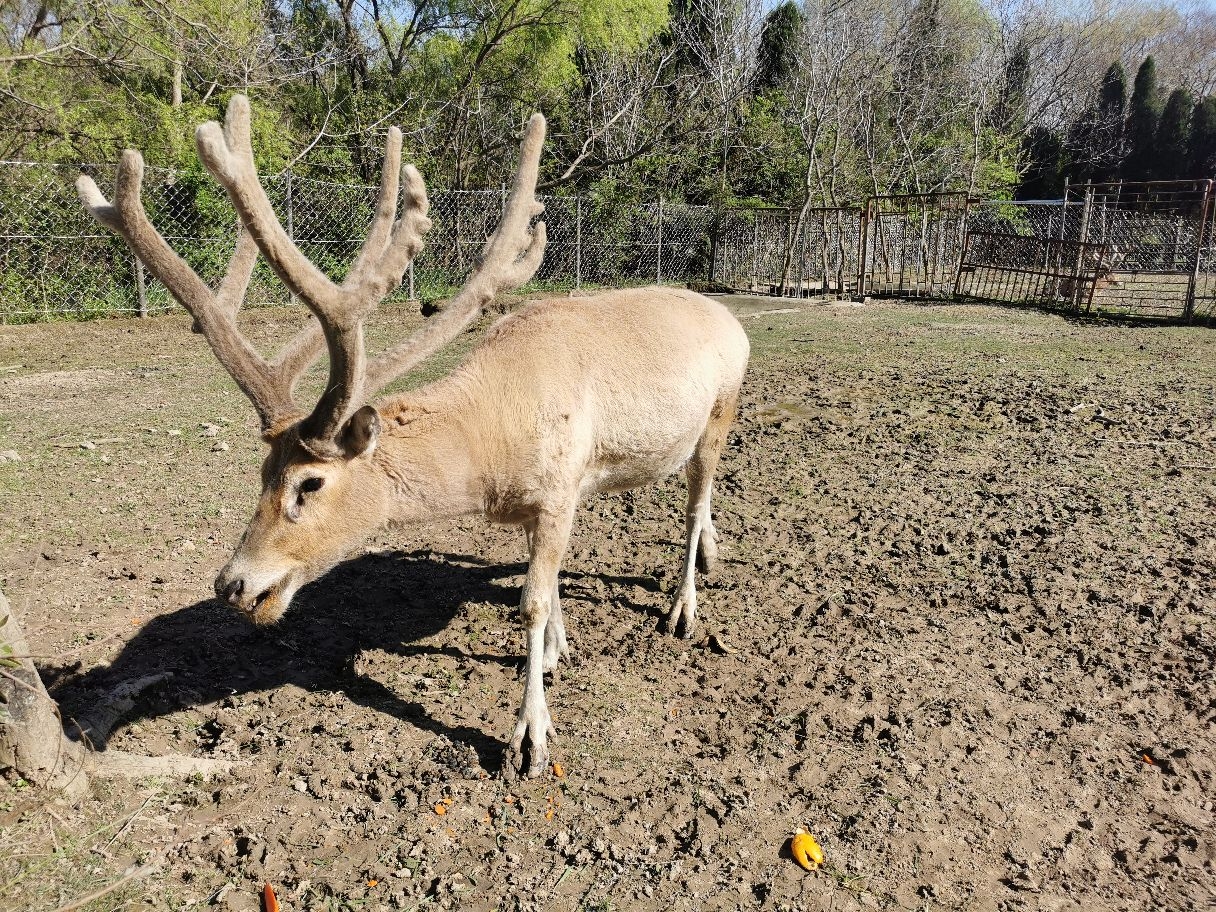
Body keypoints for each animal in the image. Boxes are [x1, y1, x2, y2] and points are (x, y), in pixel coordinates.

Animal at [78, 96, 749, 783]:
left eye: (309, 483)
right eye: (260, 474)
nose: (232, 585)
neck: (495, 449)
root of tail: (731, 316)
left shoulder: (561, 488)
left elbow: (532, 602)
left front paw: (529, 739)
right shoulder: (547, 504)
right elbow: (547, 585)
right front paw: (556, 652)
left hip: (723, 407)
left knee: (696, 498)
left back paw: (684, 607)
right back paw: (710, 558)